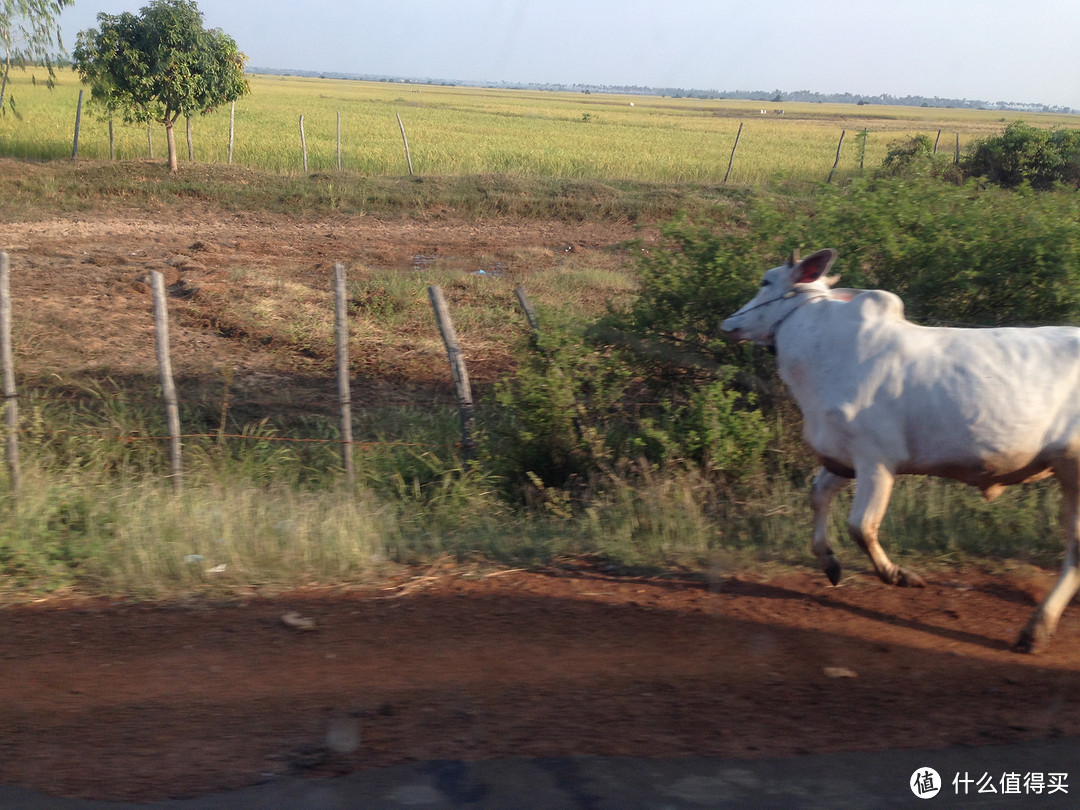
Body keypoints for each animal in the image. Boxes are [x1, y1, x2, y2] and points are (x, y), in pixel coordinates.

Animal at [721, 249, 1080, 652]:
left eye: (765, 281)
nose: (728, 324)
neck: (820, 347)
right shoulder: (843, 458)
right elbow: (818, 496)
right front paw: (829, 563)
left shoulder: (875, 460)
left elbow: (862, 526)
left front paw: (898, 575)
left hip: (1074, 467)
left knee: (1076, 549)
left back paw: (1036, 629)